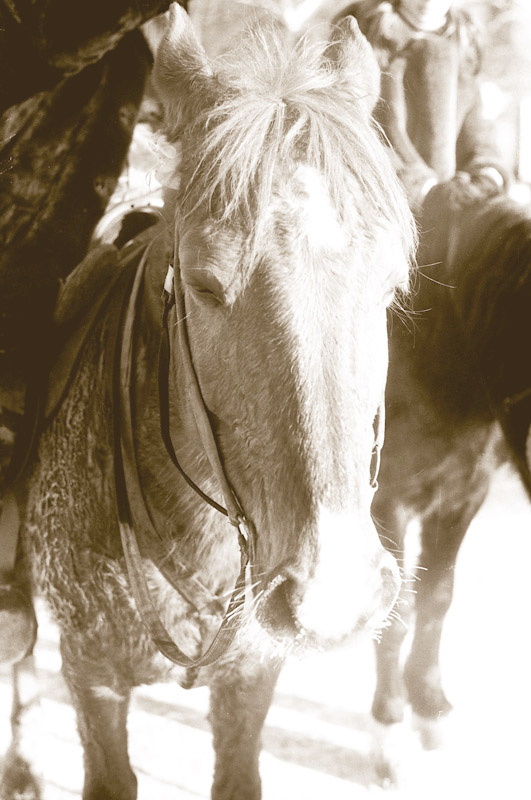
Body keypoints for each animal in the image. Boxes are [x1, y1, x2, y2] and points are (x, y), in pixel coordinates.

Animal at [370, 180, 531, 783]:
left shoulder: (462, 497)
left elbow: (437, 598)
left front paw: (429, 706)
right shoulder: (387, 501)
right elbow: (396, 612)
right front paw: (389, 727)